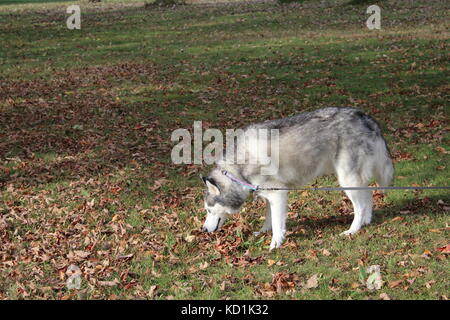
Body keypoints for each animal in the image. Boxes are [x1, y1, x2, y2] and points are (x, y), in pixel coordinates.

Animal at [200, 107, 394, 250]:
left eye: (209, 210)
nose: (203, 230)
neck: (238, 168)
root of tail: (365, 117)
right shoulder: (270, 196)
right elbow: (269, 219)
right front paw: (263, 232)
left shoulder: (278, 194)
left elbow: (277, 222)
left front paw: (275, 243)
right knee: (368, 196)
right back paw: (366, 221)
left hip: (347, 180)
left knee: (360, 206)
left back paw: (353, 229)